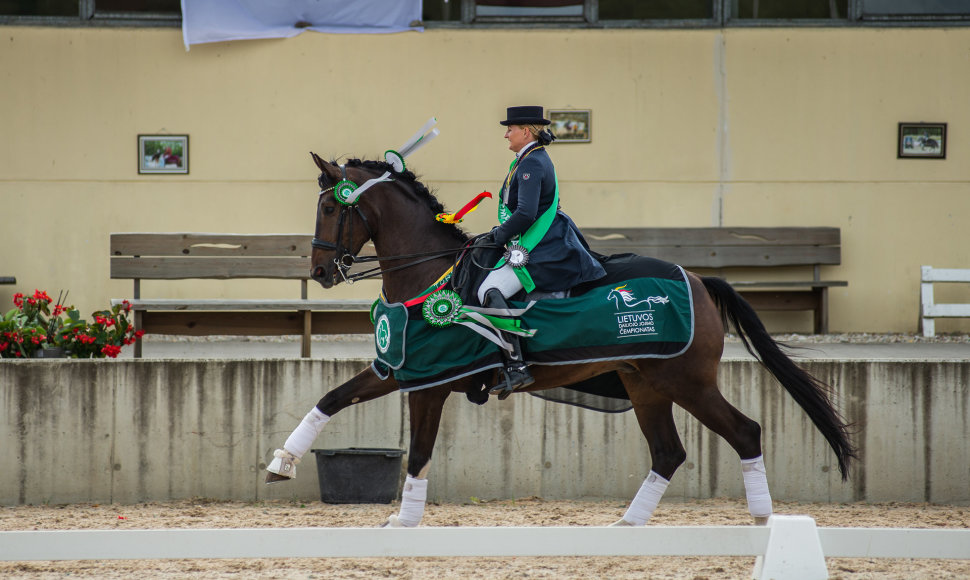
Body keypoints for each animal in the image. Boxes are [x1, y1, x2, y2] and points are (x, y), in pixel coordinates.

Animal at [260, 153, 852, 532]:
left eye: (331, 209)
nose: (320, 272)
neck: (428, 275)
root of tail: (701, 280)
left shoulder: (429, 384)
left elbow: (420, 453)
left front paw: (404, 520)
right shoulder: (399, 368)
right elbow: (330, 399)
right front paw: (281, 463)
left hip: (686, 381)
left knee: (745, 431)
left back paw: (763, 518)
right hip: (646, 385)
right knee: (668, 451)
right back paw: (627, 526)